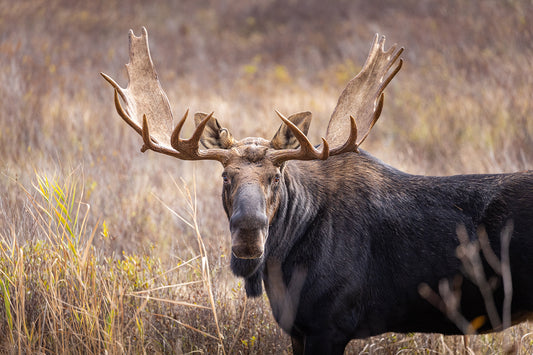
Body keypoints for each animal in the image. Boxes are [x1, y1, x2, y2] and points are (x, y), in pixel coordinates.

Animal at [102, 28, 532, 355]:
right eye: (225, 177)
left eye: (276, 177)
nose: (248, 232)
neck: (284, 262)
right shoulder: (298, 329)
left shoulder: (331, 324)